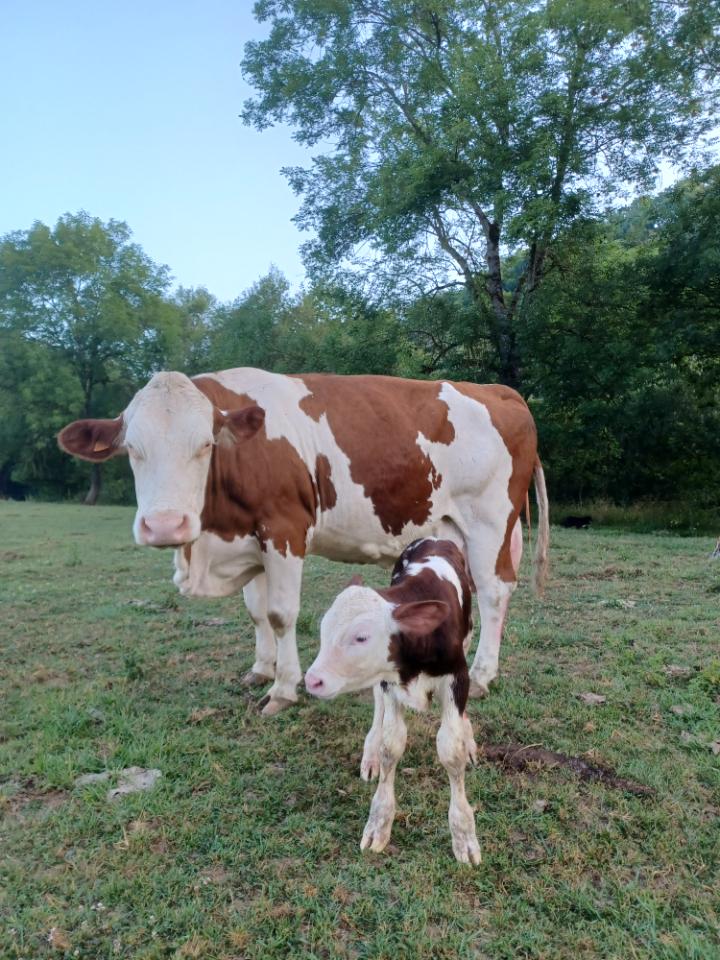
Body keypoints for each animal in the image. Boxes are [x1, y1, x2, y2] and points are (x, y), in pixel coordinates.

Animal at [58, 368, 549, 720]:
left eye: (204, 446)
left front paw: (282, 689)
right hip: (454, 531)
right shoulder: (249, 540)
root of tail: (497, 390)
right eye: (132, 450)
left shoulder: (284, 529)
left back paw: (483, 674)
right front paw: (261, 670)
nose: (164, 525)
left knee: (494, 593)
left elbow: (280, 614)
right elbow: (255, 611)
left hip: (489, 522)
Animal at [305, 538, 482, 864]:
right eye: (324, 629)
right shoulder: (389, 681)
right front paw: (379, 822)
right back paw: (370, 753)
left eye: (361, 637)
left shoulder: (456, 677)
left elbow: (451, 751)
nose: (313, 680)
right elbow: (391, 745)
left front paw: (464, 835)